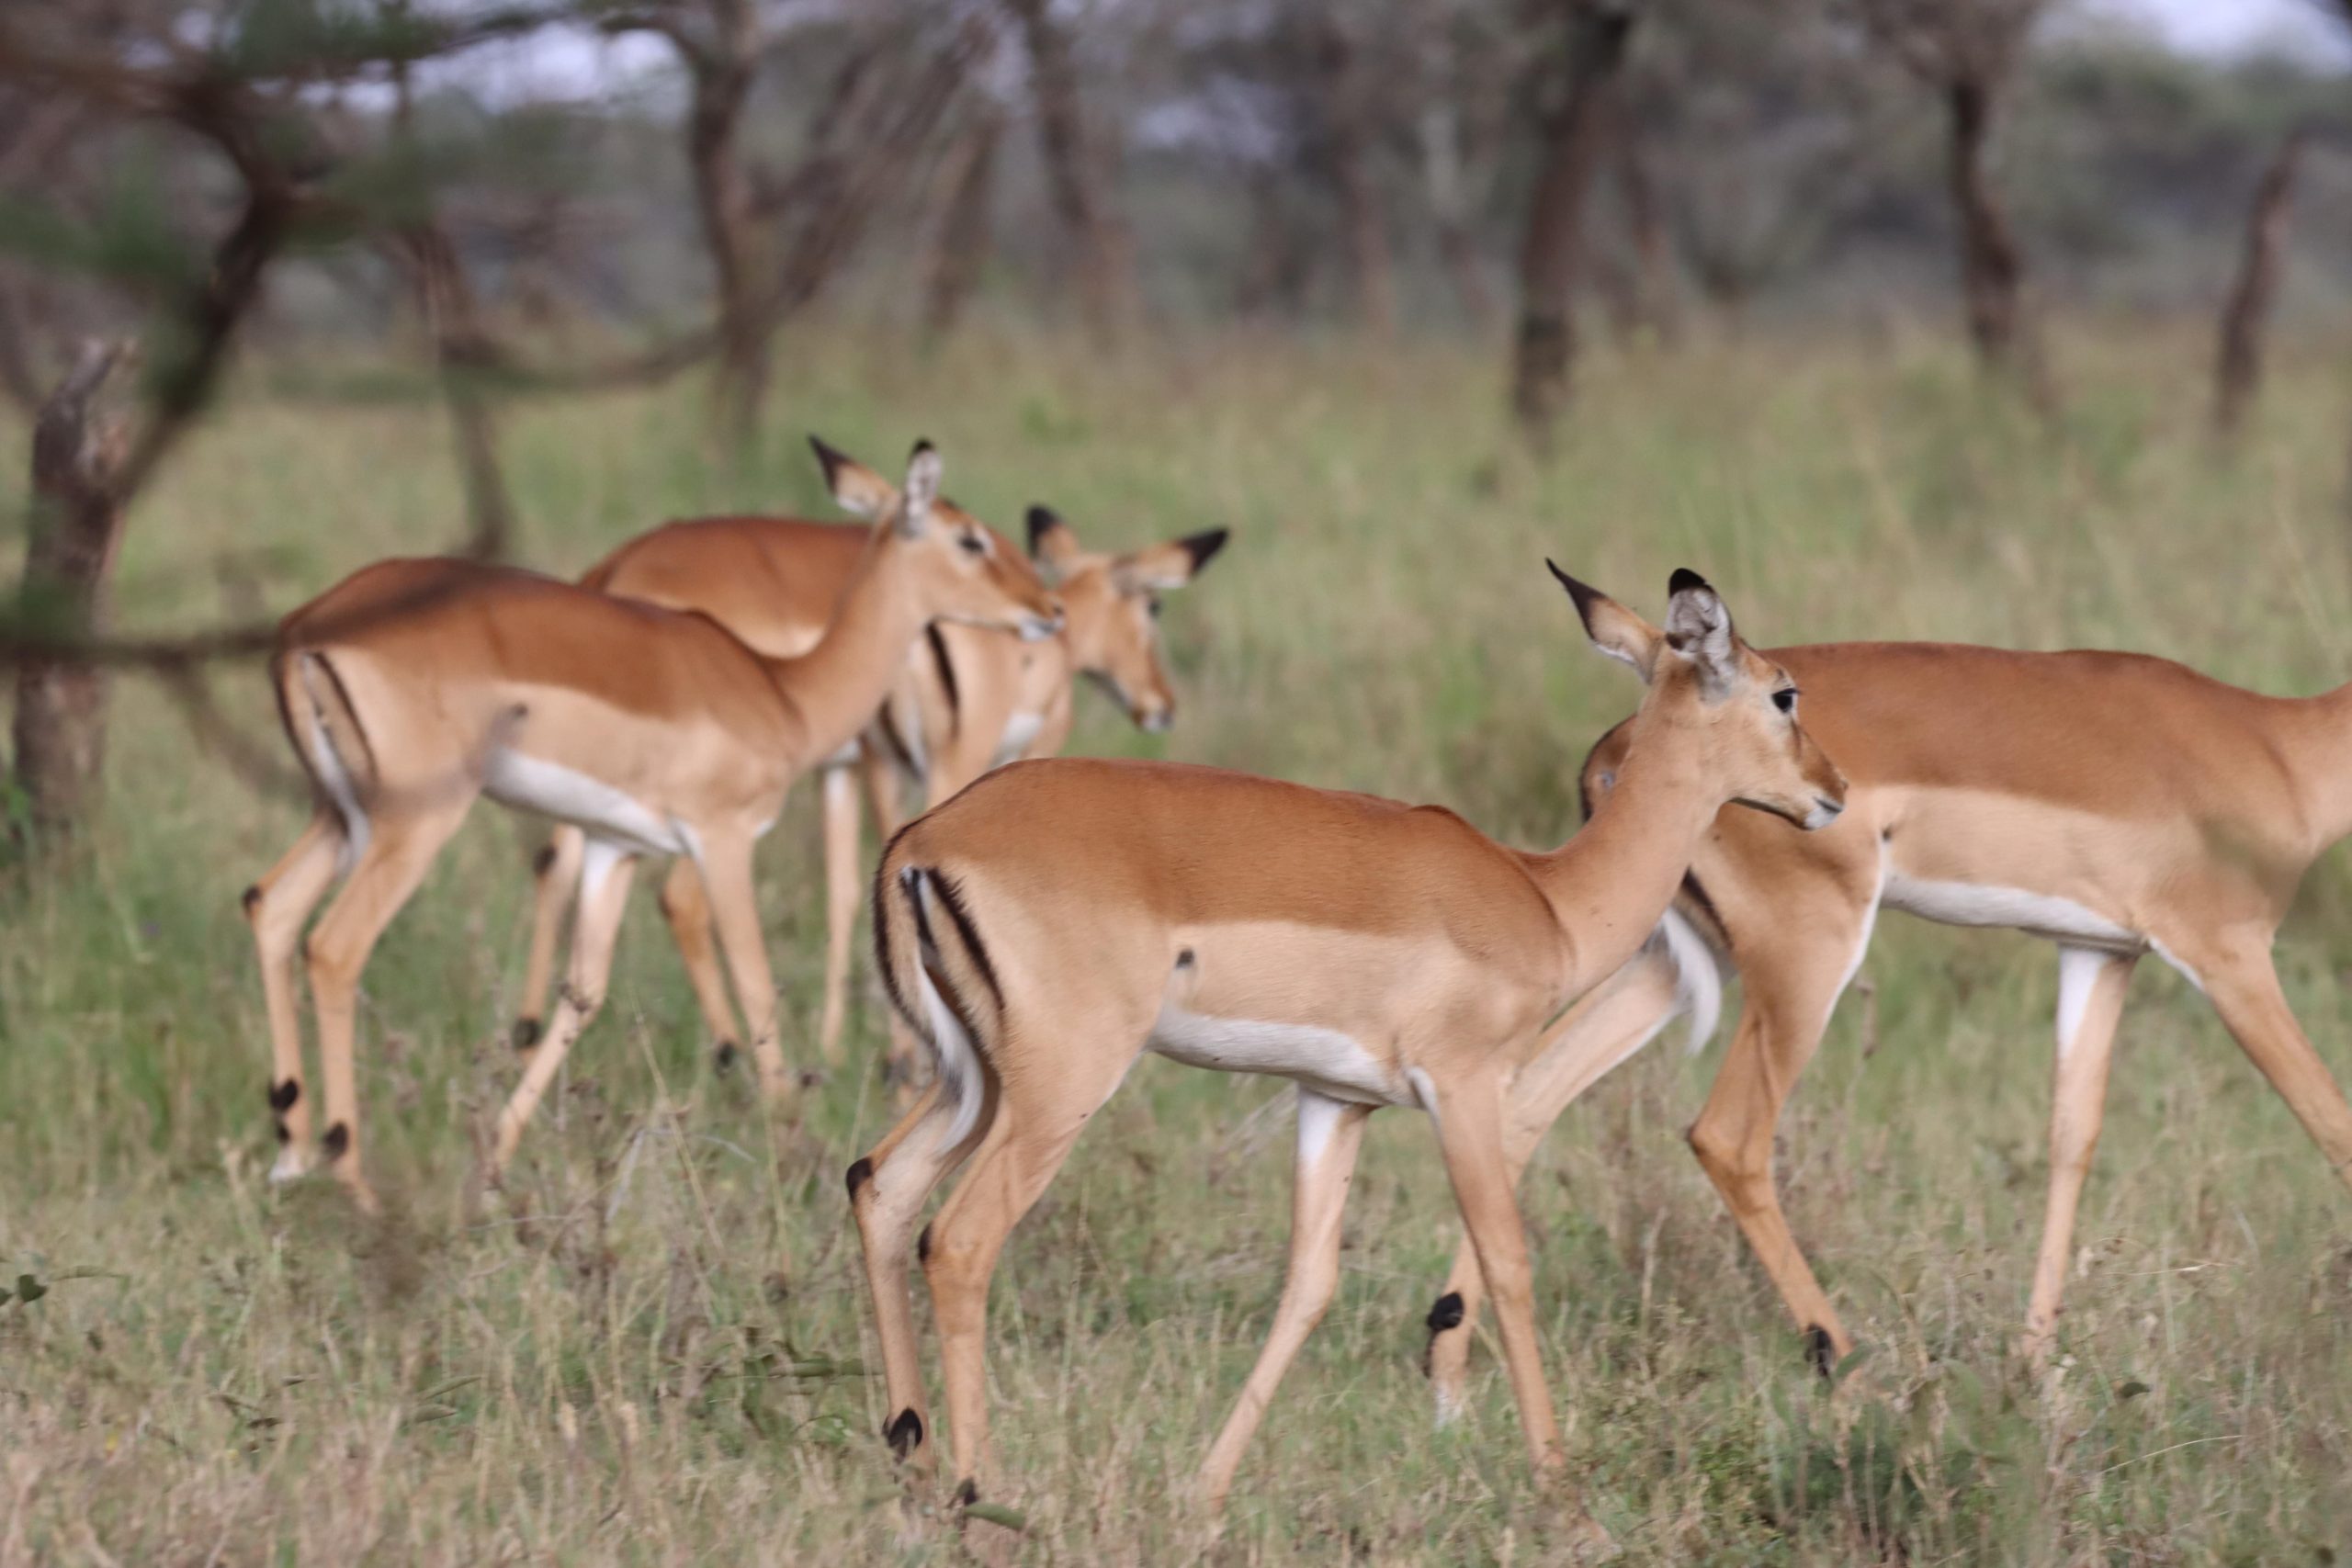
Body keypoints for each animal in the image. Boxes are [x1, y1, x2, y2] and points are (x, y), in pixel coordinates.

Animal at [241, 439, 1063, 1210]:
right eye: (969, 538)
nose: (1047, 611)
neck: (781, 691)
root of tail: (307, 628)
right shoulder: (722, 839)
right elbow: (756, 980)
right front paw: (793, 1147)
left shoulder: (618, 849)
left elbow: (584, 992)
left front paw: (493, 1168)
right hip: (413, 823)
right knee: (334, 946)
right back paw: (351, 1176)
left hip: (341, 815)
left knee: (271, 905)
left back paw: (290, 1152)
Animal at [511, 452, 1229, 1076]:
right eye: (1154, 605)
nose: (1162, 704)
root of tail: (616, 566)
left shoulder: (852, 769)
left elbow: (843, 891)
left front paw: (840, 1050)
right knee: (680, 898)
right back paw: (733, 1054)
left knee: (554, 862)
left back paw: (526, 1033)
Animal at [843, 568, 1847, 1522]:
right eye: (1782, 692)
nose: (1832, 793)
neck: (1548, 898)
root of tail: (922, 840)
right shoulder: (1465, 1088)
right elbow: (1507, 1264)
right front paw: (1563, 1495)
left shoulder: (1336, 1099)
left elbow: (1309, 1283)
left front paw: (1204, 1493)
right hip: (1059, 1084)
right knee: (960, 1239)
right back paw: (978, 1490)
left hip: (974, 1078)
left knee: (880, 1186)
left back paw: (913, 1462)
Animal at [1420, 639, 2352, 1415]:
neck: (2280, 747)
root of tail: (1617, 753)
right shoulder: (2230, 955)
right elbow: (2331, 1124)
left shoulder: (2100, 950)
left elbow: (2070, 1137)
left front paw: (2036, 1371)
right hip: (1803, 959)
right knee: (1726, 1135)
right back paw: (1857, 1371)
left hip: (1669, 959)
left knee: (1527, 1102)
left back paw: (1450, 1383)